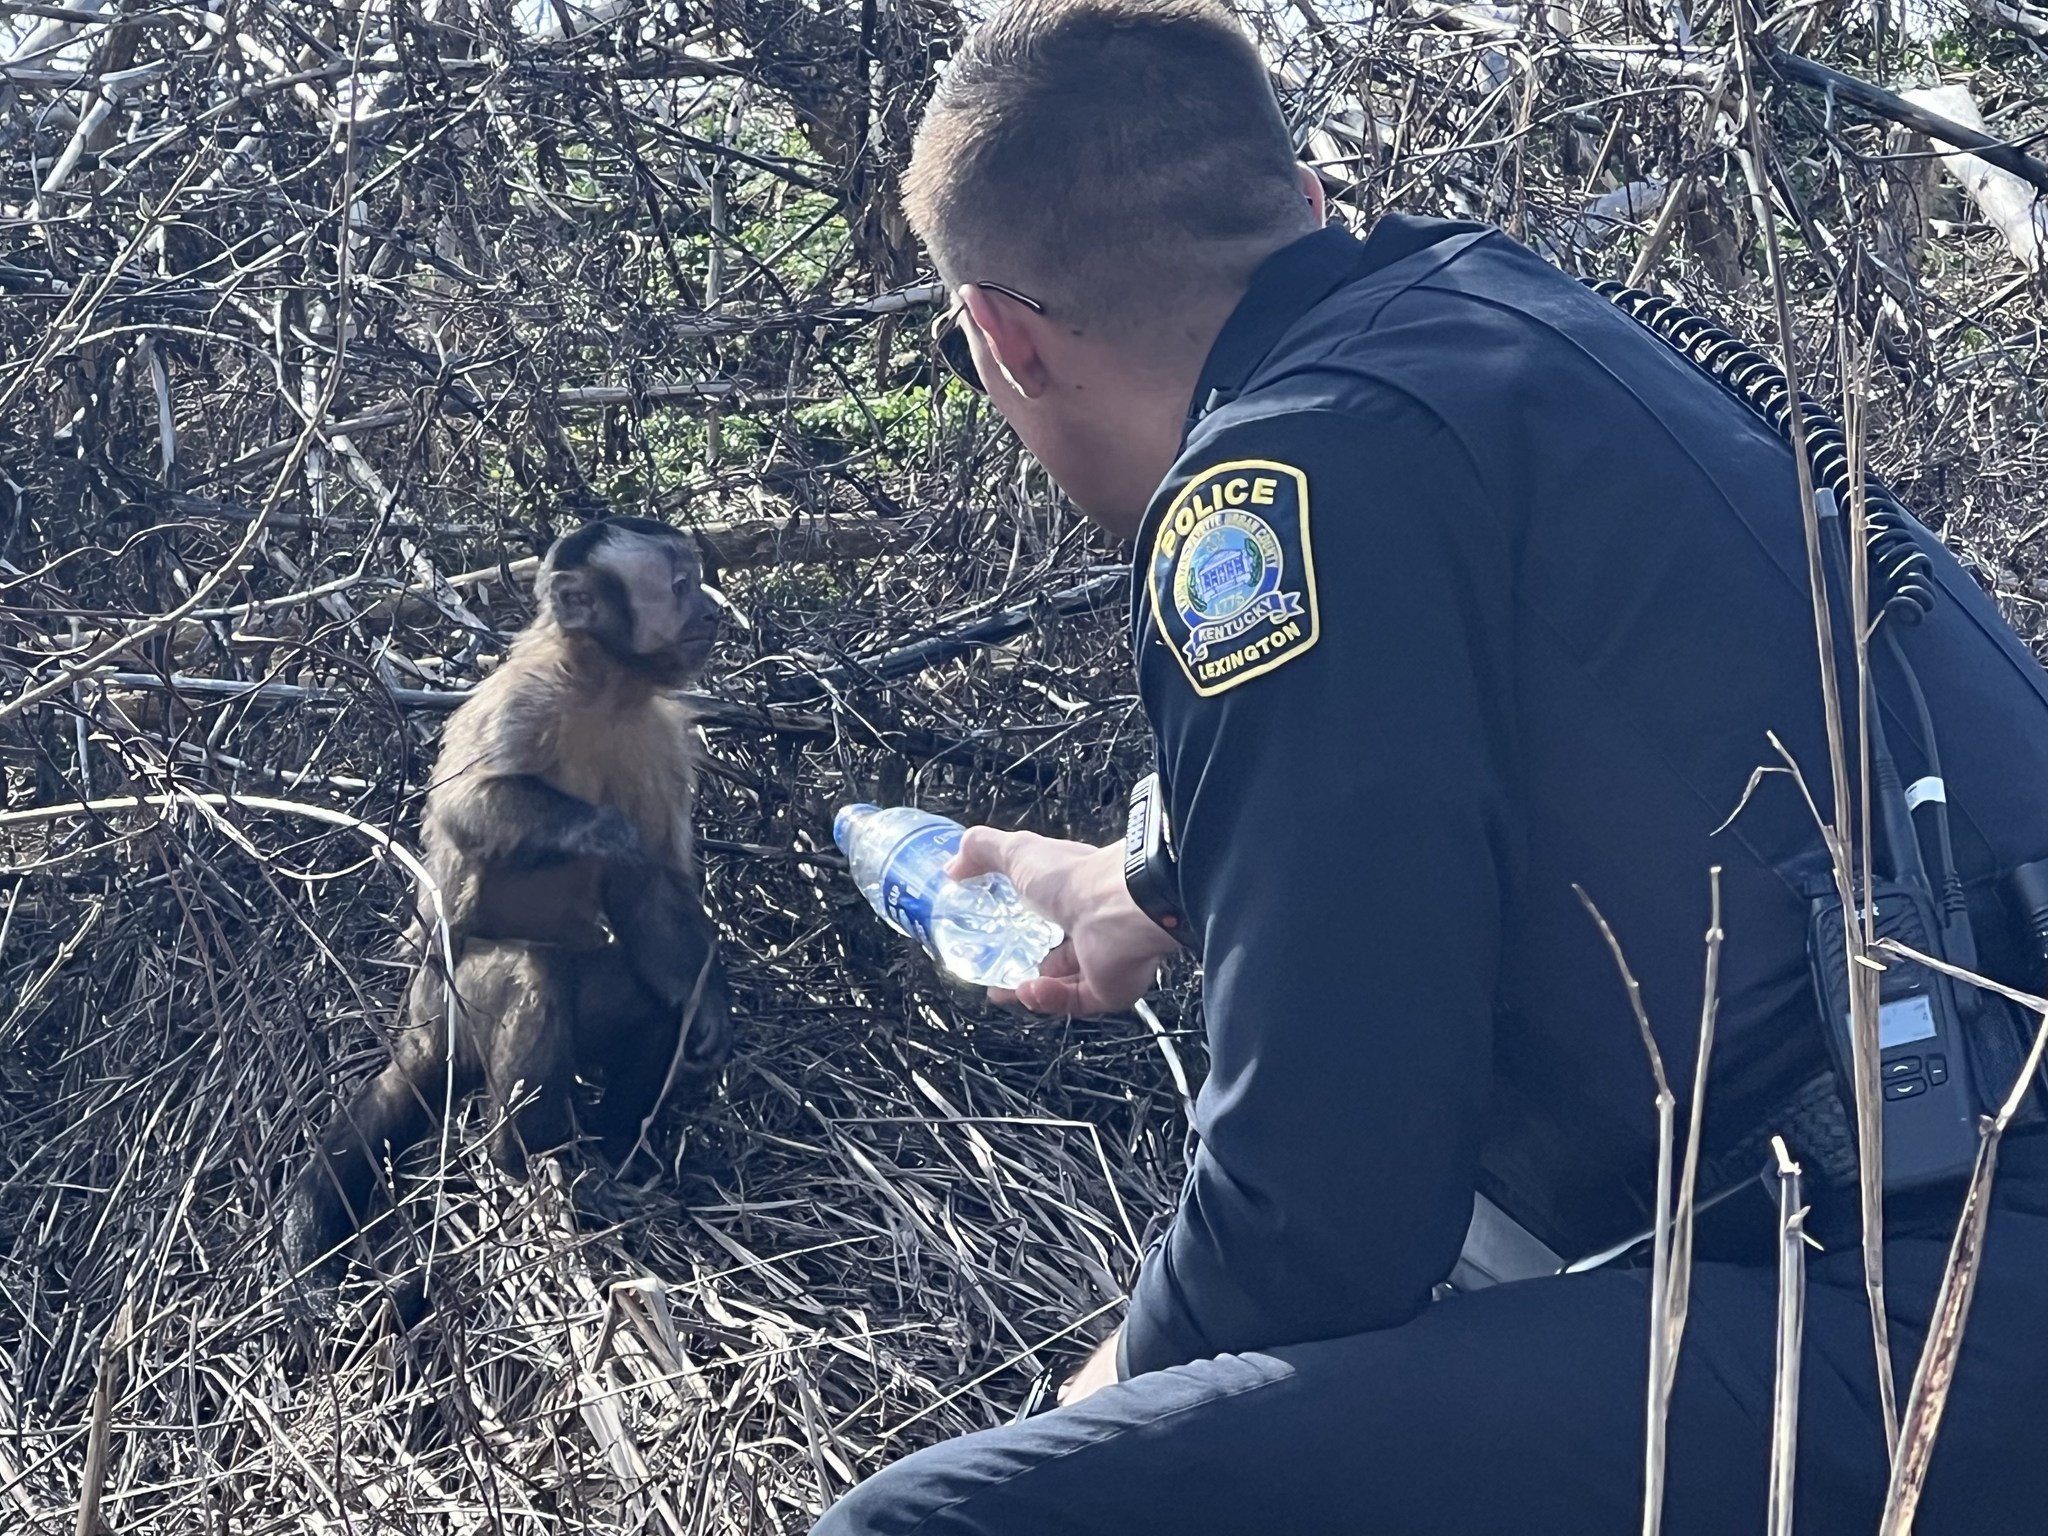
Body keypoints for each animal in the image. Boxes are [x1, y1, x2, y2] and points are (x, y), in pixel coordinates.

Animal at [281, 516, 733, 1314]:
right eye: (679, 586)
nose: (711, 610)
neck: (603, 690)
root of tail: (416, 1026)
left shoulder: (660, 738)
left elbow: (654, 893)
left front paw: (708, 1005)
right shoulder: (526, 698)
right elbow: (468, 809)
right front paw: (599, 830)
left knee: (646, 1002)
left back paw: (615, 1154)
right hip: (452, 1006)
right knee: (532, 970)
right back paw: (523, 1158)